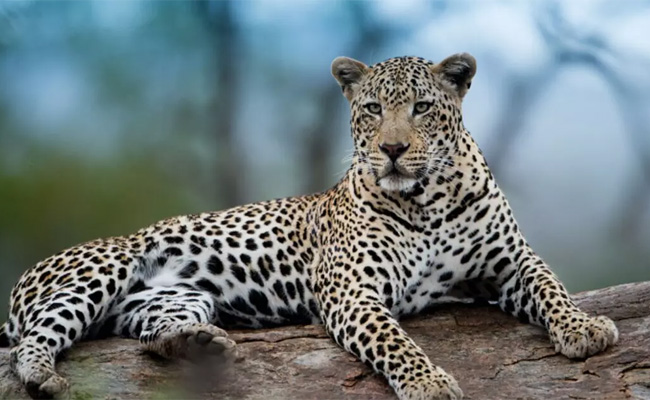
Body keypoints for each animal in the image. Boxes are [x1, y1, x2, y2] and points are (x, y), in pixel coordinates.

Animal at [0, 53, 619, 400]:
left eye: (421, 108)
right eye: (371, 109)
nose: (392, 150)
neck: (427, 201)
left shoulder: (509, 261)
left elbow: (550, 285)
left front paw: (585, 327)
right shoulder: (352, 291)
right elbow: (395, 340)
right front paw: (428, 382)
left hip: (168, 300)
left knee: (152, 335)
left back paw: (197, 344)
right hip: (103, 267)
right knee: (36, 338)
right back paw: (43, 376)